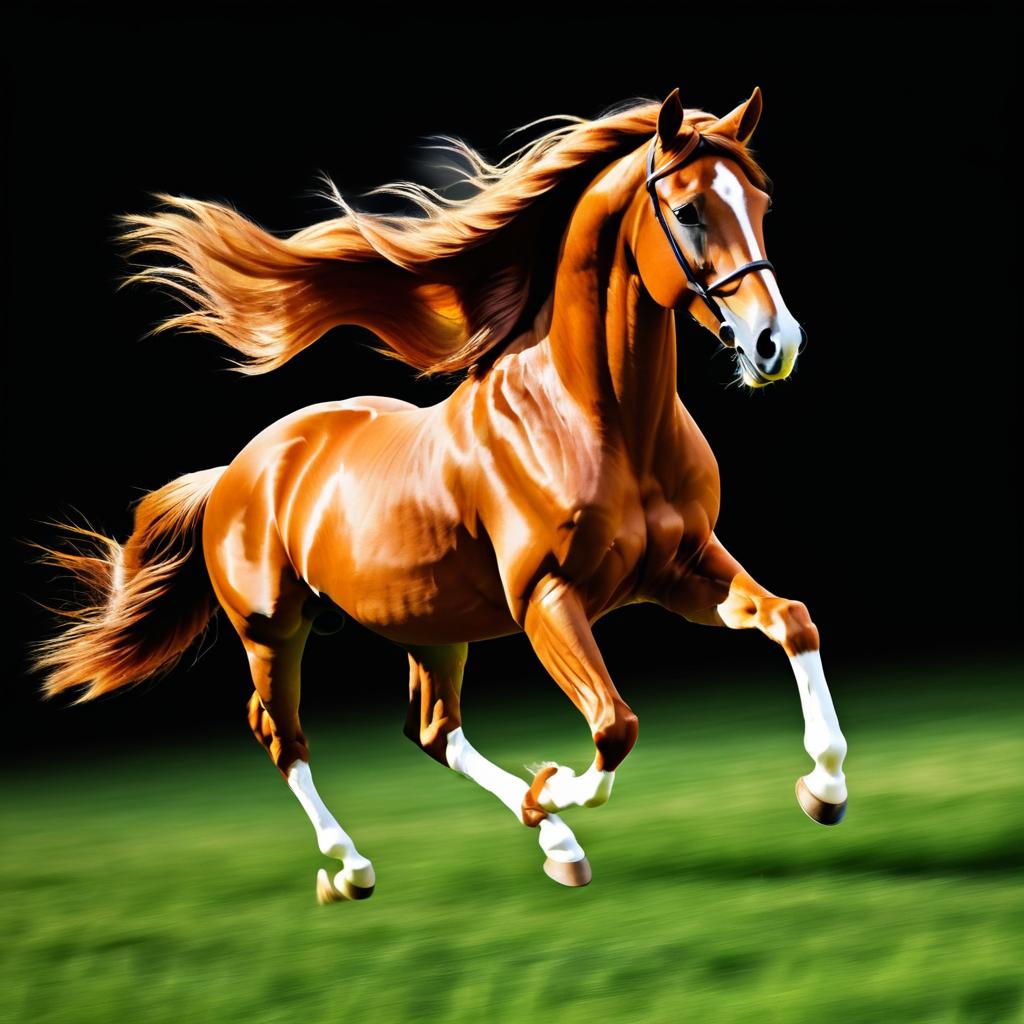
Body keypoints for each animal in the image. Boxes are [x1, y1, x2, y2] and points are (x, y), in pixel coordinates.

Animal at [32, 90, 847, 905]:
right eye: (687, 211)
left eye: (762, 203)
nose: (776, 343)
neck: (599, 423)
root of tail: (236, 469)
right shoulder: (548, 598)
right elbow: (615, 726)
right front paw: (548, 786)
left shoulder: (686, 568)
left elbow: (793, 620)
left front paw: (824, 790)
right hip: (272, 630)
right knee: (281, 736)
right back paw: (354, 869)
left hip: (431, 625)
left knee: (432, 729)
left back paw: (554, 845)